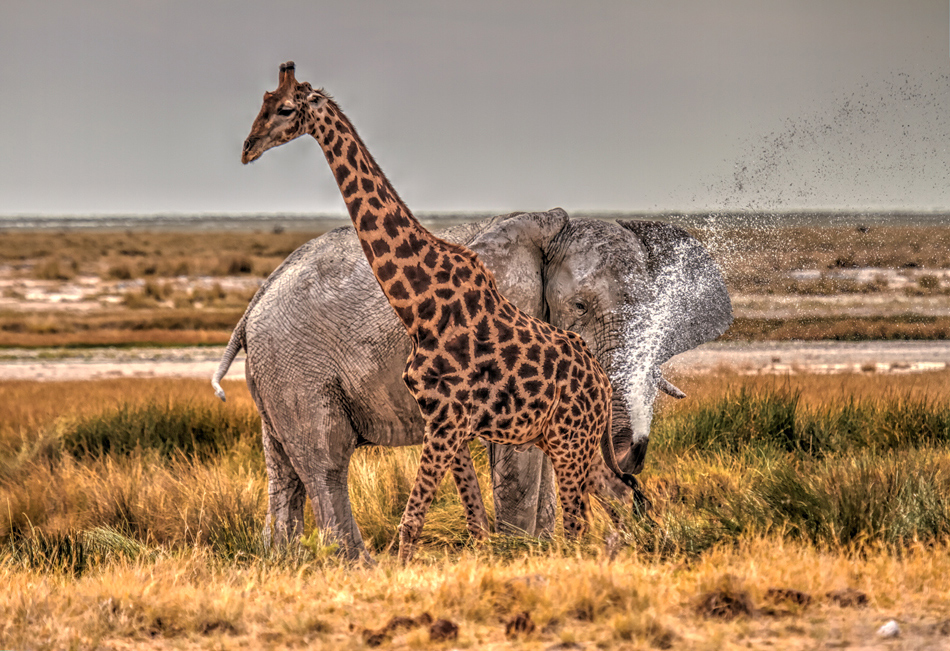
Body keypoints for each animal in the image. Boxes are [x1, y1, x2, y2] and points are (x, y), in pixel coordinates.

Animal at [216, 210, 732, 560]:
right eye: (580, 307)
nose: (632, 474)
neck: (552, 226)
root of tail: (258, 296)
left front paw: (546, 549)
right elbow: (521, 460)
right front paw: (521, 554)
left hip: (276, 374)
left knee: (284, 467)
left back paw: (285, 563)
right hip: (299, 368)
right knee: (324, 461)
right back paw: (358, 567)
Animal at [244, 62, 640, 560]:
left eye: (285, 108)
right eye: (262, 101)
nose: (247, 149)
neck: (423, 303)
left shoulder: (453, 416)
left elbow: (418, 516)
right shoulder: (445, 415)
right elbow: (460, 512)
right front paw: (484, 556)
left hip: (570, 434)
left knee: (585, 509)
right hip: (288, 376)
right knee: (311, 465)